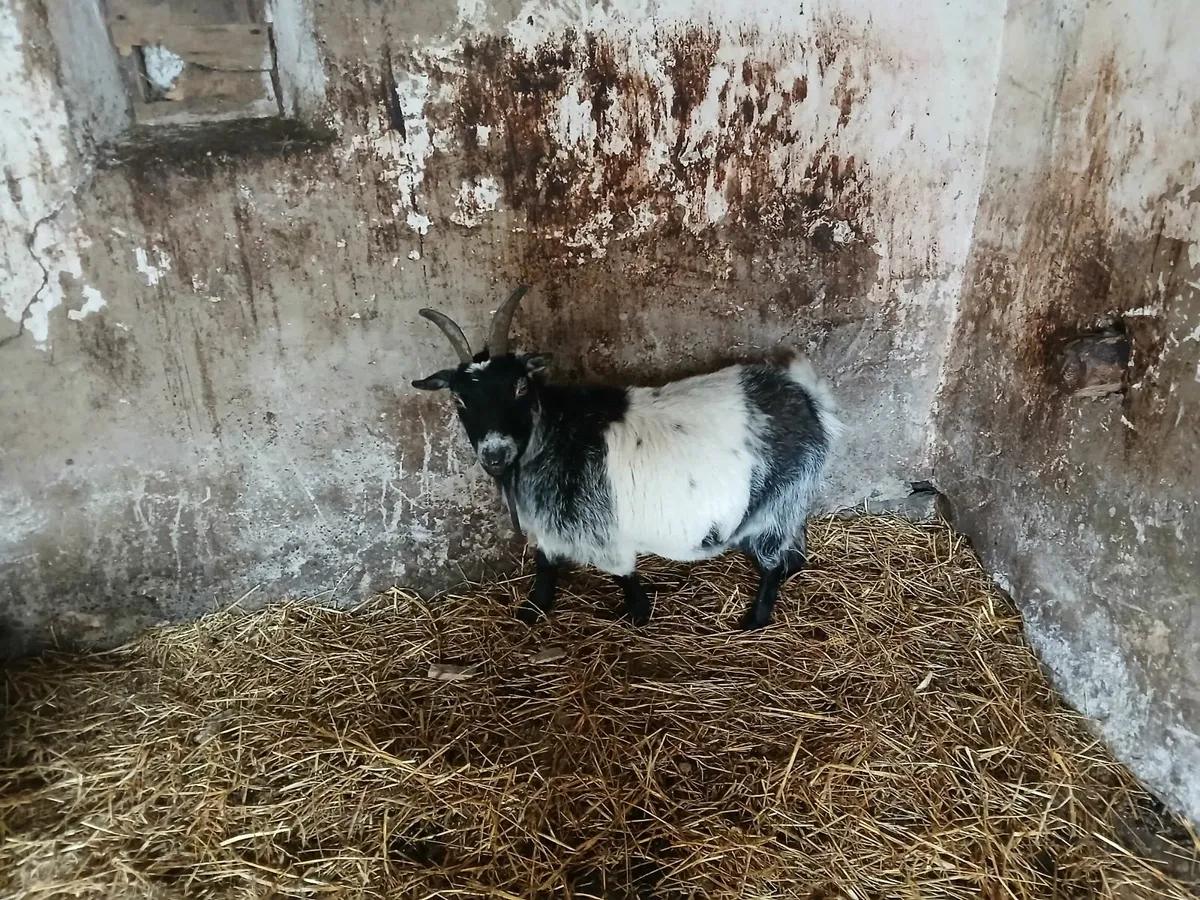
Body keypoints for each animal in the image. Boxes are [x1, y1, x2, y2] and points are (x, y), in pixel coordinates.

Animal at [412, 286, 843, 629]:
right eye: (458, 398)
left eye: (519, 386)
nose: (495, 454)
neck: (551, 434)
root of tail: (807, 397)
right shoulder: (550, 526)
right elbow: (545, 565)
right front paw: (533, 610)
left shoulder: (600, 530)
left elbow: (622, 575)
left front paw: (636, 614)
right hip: (790, 502)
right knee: (794, 556)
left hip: (777, 503)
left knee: (773, 563)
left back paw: (754, 619)